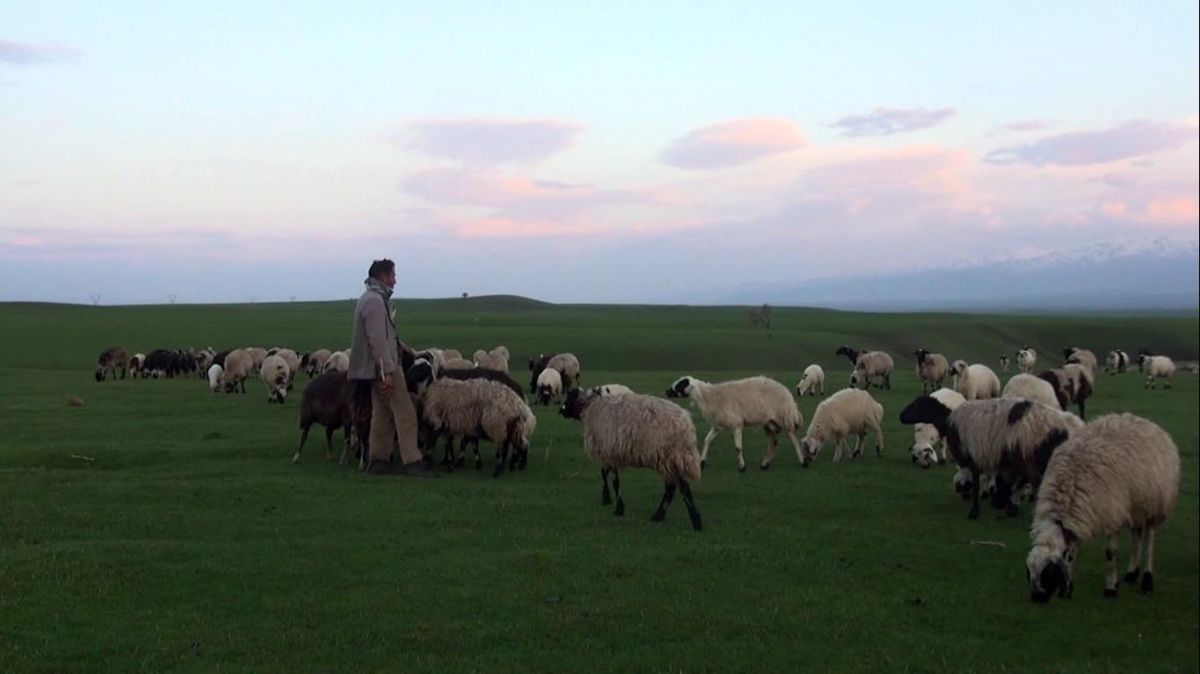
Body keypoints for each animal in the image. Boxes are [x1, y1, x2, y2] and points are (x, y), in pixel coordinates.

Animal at [559, 388, 700, 530]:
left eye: (569, 397)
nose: (561, 411)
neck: (589, 407)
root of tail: (687, 425)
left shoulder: (609, 453)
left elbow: (614, 481)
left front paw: (618, 508)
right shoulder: (610, 455)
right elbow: (605, 474)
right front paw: (607, 499)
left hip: (669, 457)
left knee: (680, 487)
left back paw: (694, 521)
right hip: (673, 459)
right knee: (673, 487)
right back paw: (659, 516)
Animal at [667, 374, 806, 470]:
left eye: (681, 384)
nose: (666, 391)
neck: (709, 396)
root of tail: (789, 395)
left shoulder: (736, 424)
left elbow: (738, 447)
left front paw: (742, 466)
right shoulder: (717, 425)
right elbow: (707, 440)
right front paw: (702, 462)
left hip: (785, 418)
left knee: (794, 440)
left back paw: (802, 462)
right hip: (769, 422)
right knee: (773, 442)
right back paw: (765, 464)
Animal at [897, 393, 1084, 520]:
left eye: (918, 404)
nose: (901, 416)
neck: (948, 419)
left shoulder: (973, 455)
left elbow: (976, 481)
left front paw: (974, 510)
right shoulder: (999, 460)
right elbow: (1001, 481)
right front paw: (1003, 502)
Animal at [1022, 412, 1180, 599]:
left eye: (1049, 572)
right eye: (1029, 572)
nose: (1036, 599)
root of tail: (1147, 422)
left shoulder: (1112, 515)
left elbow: (1110, 553)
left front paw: (1111, 587)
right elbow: (1073, 552)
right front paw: (1069, 587)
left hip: (1156, 503)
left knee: (1150, 540)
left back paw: (1147, 581)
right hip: (1136, 504)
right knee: (1136, 535)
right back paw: (1132, 572)